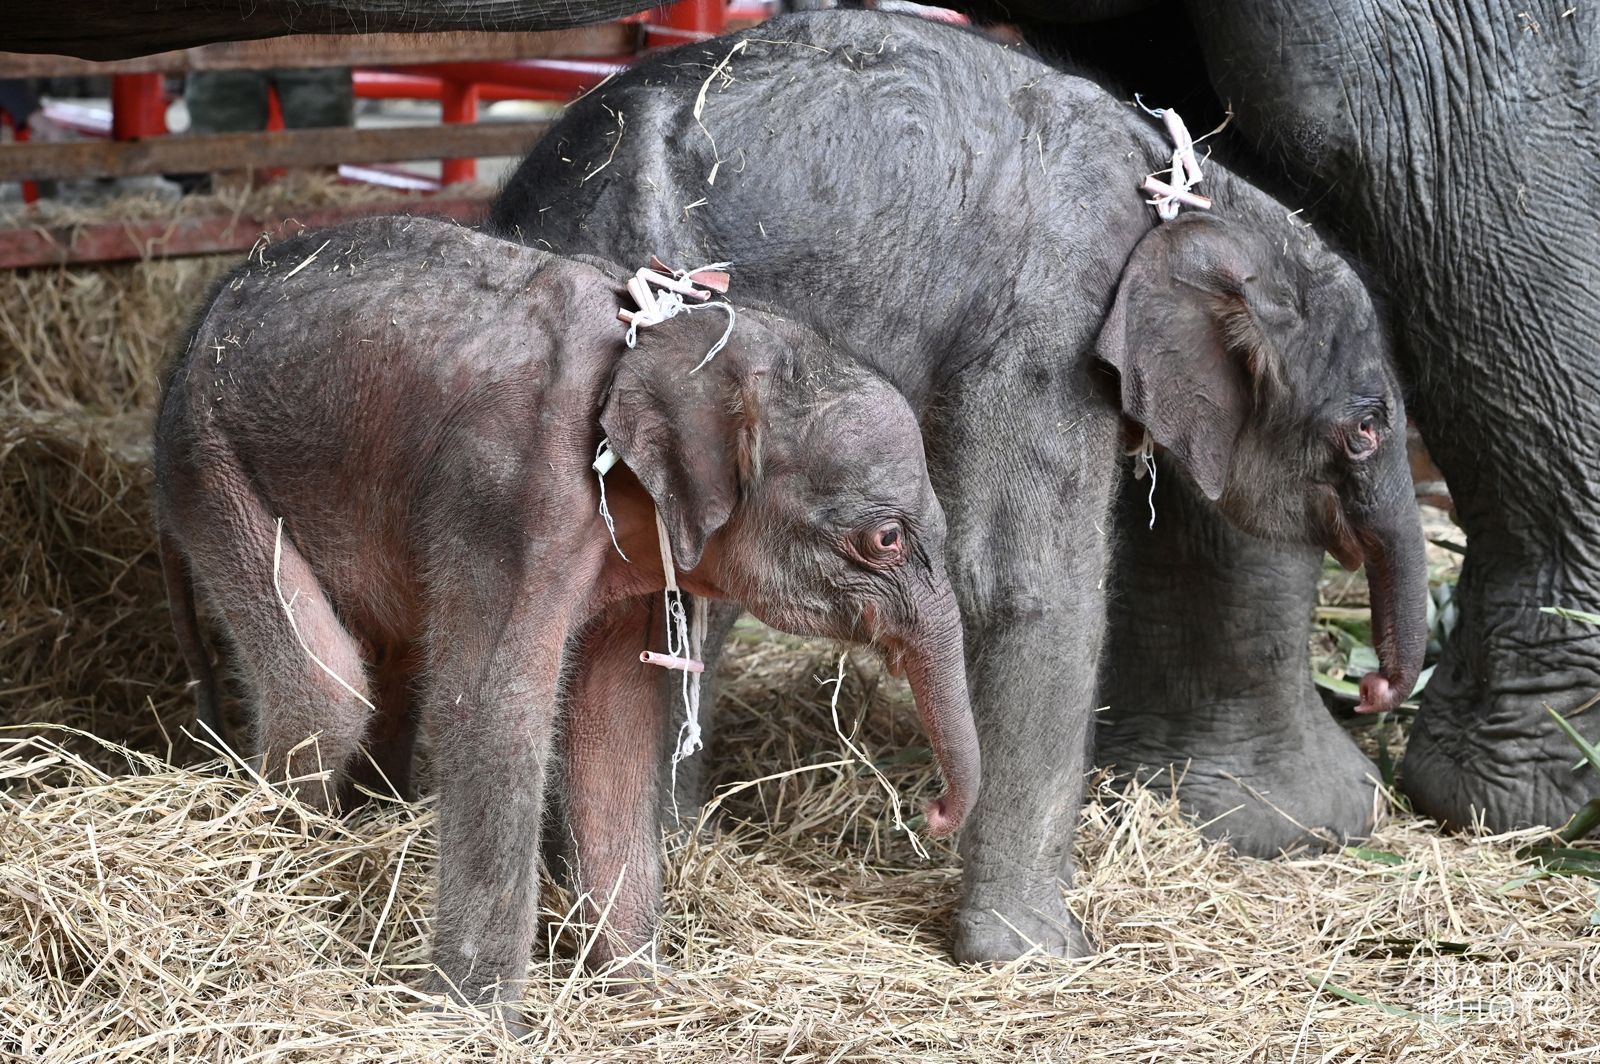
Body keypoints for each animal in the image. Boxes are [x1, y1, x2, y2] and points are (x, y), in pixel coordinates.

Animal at [152, 214, 972, 1024]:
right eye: (885, 539)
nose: (930, 812)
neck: (670, 337)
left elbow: (614, 727)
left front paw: (640, 997)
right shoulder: (512, 494)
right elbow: (494, 710)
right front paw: (478, 1019)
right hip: (210, 462)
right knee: (330, 693)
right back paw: (284, 867)